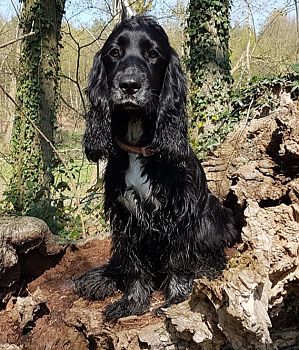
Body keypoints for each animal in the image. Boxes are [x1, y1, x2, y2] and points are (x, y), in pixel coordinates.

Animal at [75, 15, 239, 318]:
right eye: (114, 53)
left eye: (153, 54)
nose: (129, 85)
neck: (139, 147)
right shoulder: (125, 217)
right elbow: (134, 264)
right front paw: (133, 301)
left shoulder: (179, 212)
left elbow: (178, 257)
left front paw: (176, 297)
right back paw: (103, 277)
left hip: (214, 217)